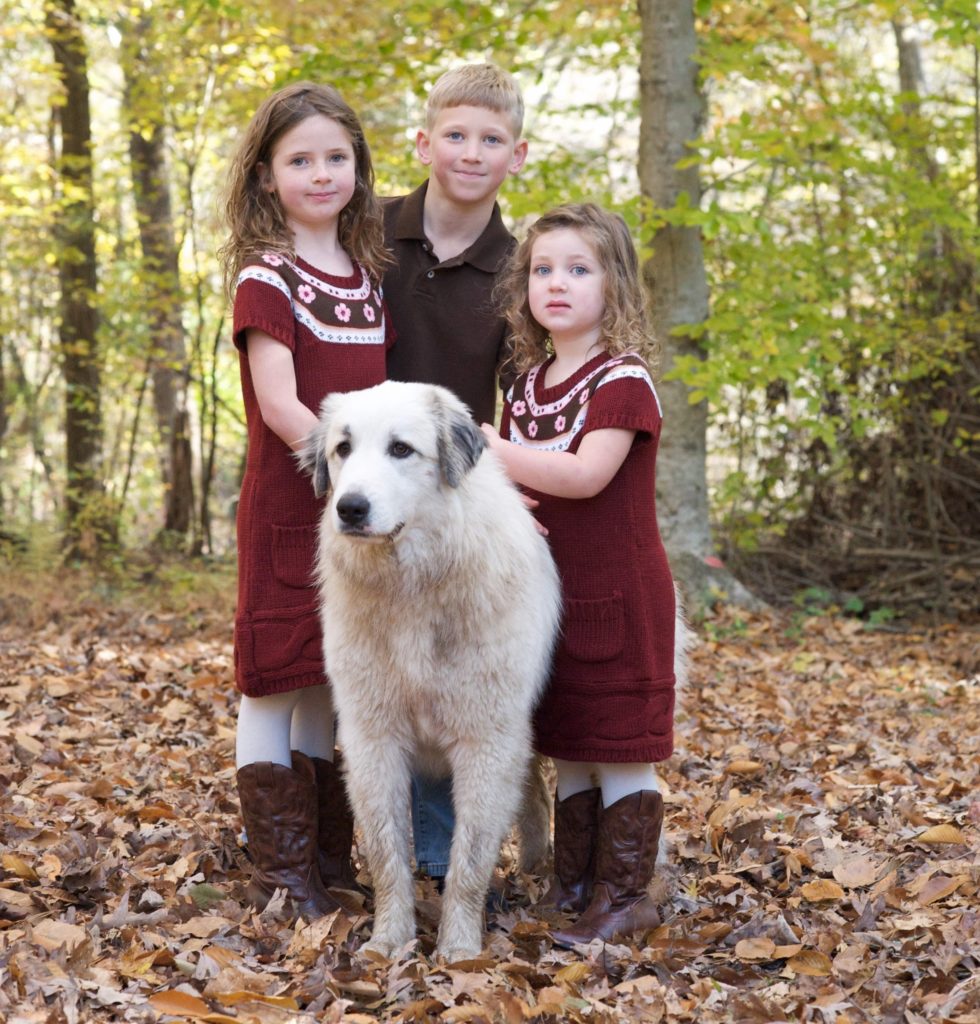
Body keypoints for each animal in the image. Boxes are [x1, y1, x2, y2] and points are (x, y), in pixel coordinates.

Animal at [299, 382, 557, 958]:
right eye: (342, 448)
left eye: (401, 449)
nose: (350, 508)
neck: (412, 585)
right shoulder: (373, 740)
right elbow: (386, 852)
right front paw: (389, 940)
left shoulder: (488, 741)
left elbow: (470, 861)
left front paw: (459, 949)